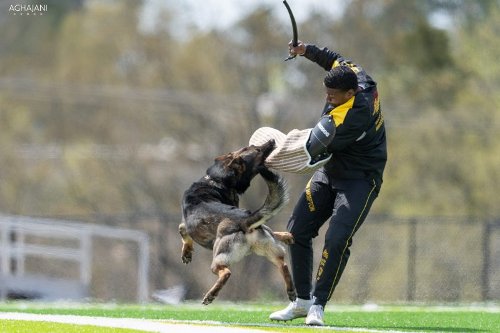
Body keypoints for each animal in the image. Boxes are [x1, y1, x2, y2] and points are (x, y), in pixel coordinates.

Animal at [180, 139, 296, 304]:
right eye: (256, 149)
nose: (272, 140)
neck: (216, 180)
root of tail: (244, 221)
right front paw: (286, 236)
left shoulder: (185, 223)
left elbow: (182, 230)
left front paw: (187, 252)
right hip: (267, 249)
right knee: (283, 264)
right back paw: (291, 290)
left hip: (219, 257)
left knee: (226, 273)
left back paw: (210, 295)